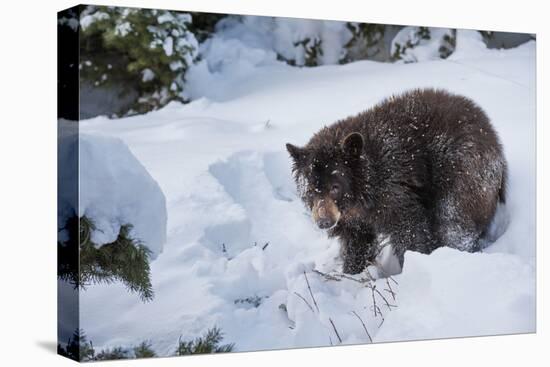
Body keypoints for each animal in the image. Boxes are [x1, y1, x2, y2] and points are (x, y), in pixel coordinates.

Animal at [288, 87, 508, 274]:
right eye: (310, 190)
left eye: (335, 186)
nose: (324, 221)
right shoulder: (352, 219)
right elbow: (357, 242)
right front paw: (352, 270)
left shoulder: (393, 188)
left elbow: (410, 230)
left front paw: (411, 266)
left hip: (462, 171)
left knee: (454, 222)